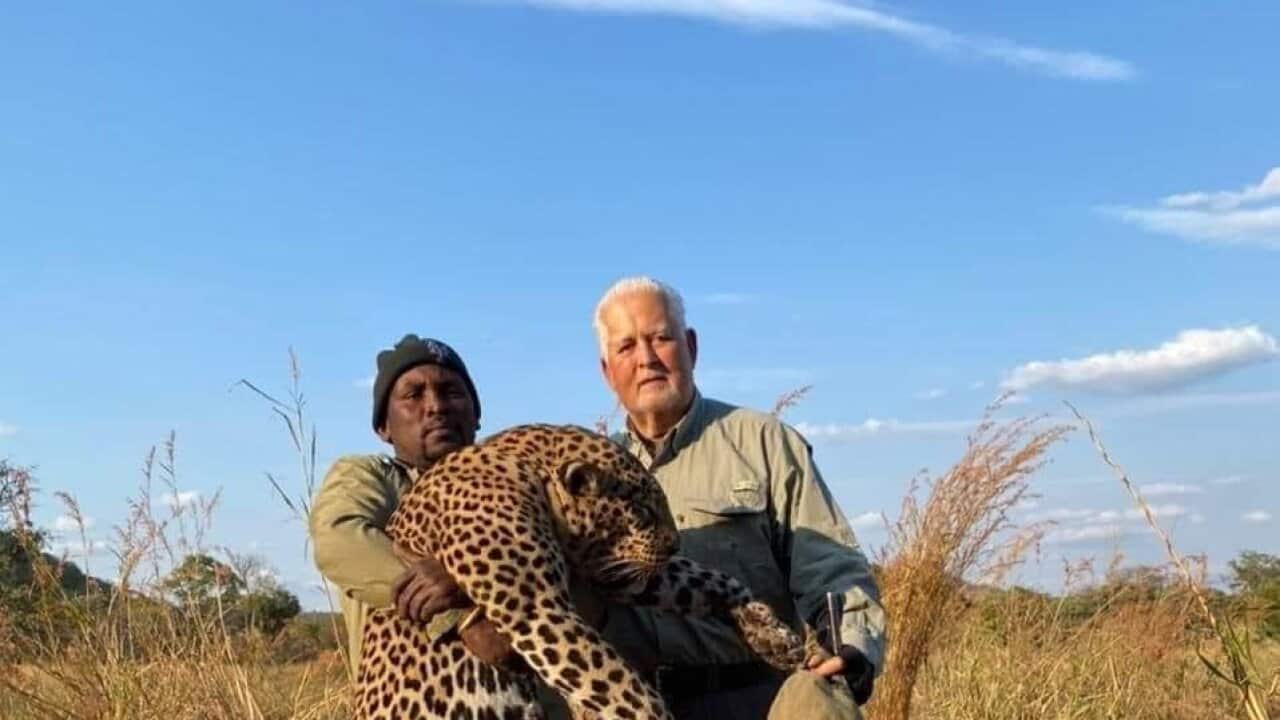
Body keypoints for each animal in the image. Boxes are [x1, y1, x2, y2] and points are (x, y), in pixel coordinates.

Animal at [356, 423, 814, 720]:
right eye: (643, 513)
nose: (674, 544)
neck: (530, 472)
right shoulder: (539, 610)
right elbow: (620, 686)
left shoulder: (616, 573)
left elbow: (710, 579)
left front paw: (772, 635)